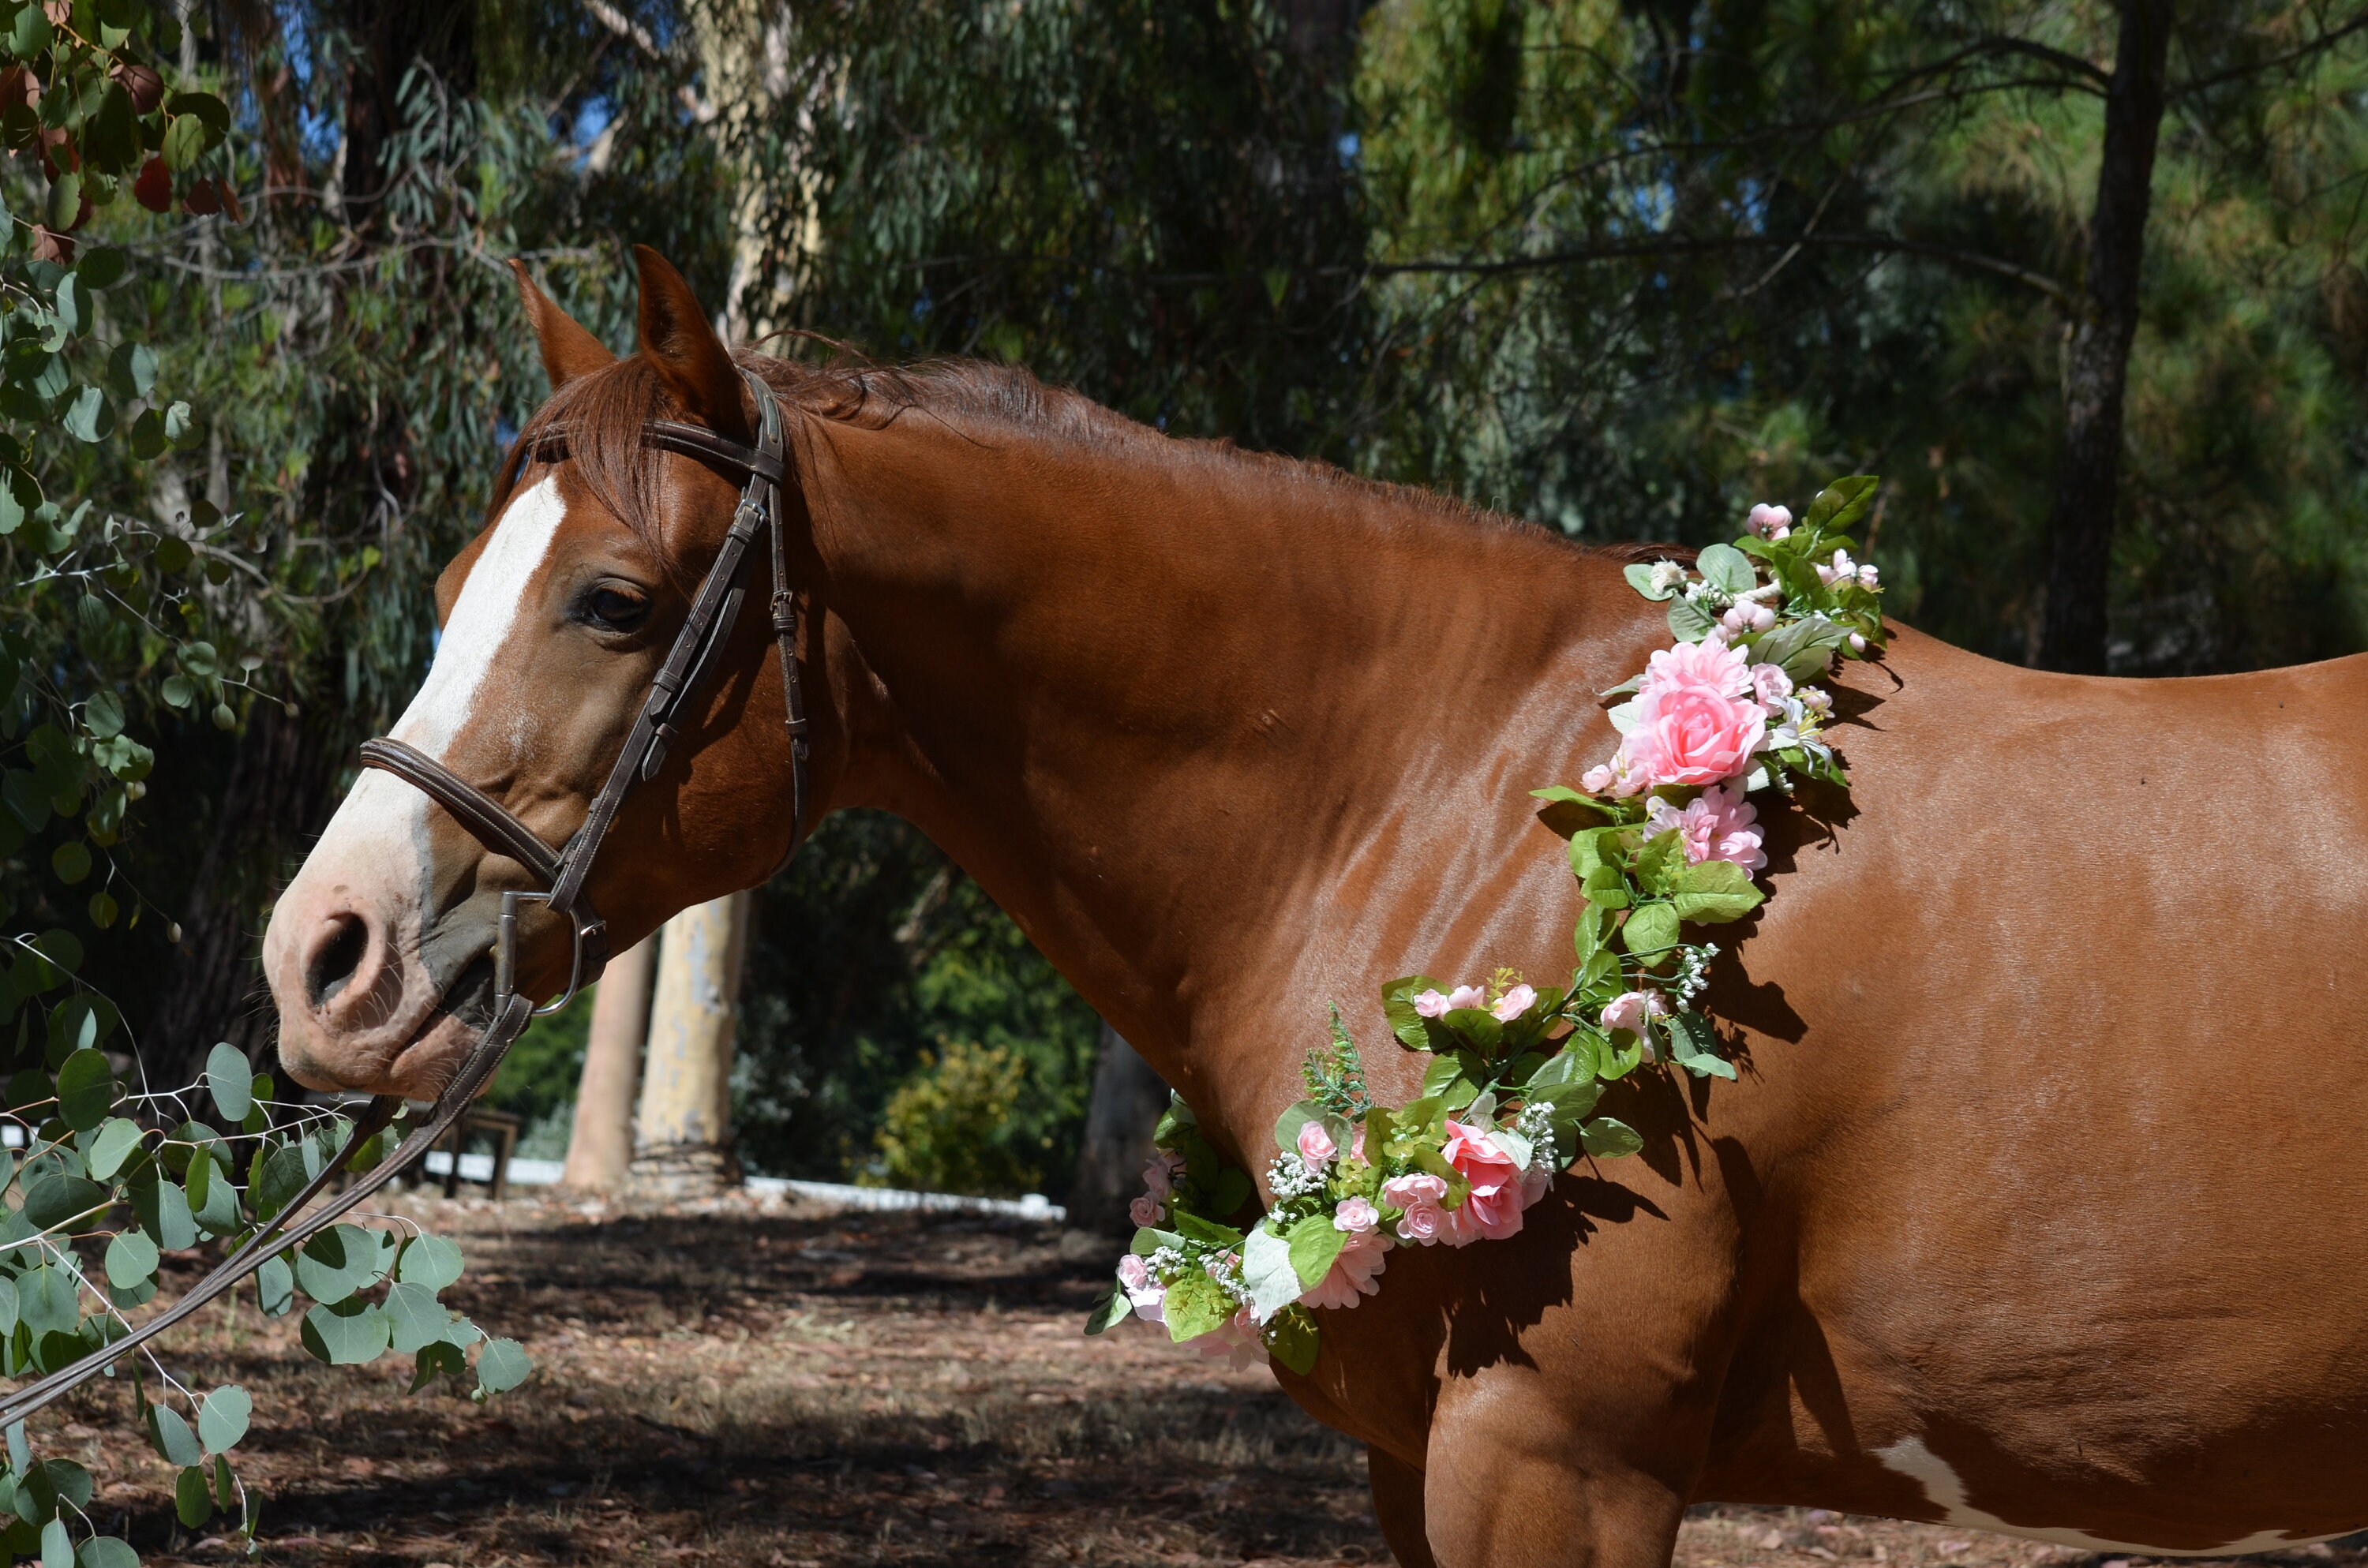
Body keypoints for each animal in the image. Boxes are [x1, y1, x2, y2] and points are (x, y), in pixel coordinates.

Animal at [259, 246, 2368, 1568]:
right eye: (451, 579)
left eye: (613, 597)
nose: (321, 955)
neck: (1452, 790)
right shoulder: (1410, 1469)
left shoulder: (1558, 1464)